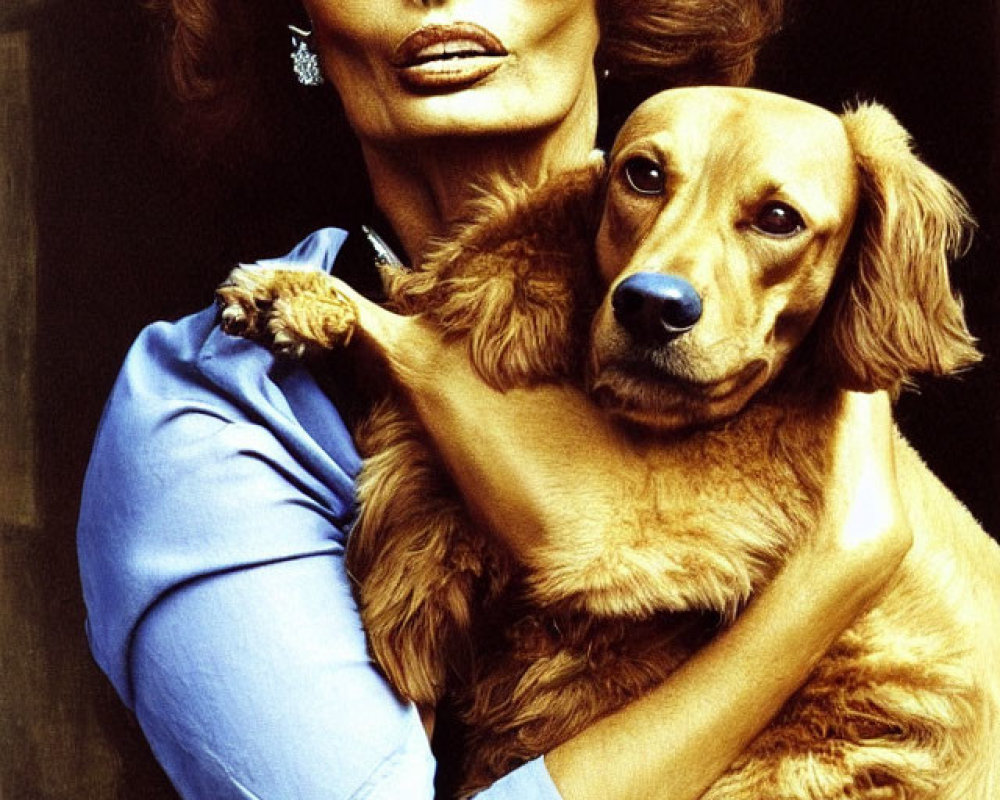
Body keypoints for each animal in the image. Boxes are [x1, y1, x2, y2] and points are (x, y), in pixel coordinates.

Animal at [215, 89, 996, 800]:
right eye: (642, 175)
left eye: (779, 219)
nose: (652, 305)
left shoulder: (618, 524)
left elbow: (419, 340)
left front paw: (306, 297)